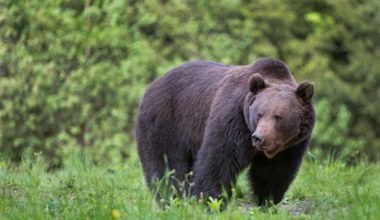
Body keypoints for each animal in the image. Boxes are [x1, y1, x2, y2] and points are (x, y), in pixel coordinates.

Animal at [136, 58, 314, 206]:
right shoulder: (234, 117)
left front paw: (267, 201)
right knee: (168, 164)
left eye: (278, 117)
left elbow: (274, 172)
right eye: (259, 114)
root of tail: (151, 85)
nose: (259, 138)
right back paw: (171, 198)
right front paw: (211, 201)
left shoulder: (291, 145)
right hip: (166, 121)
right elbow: (220, 159)